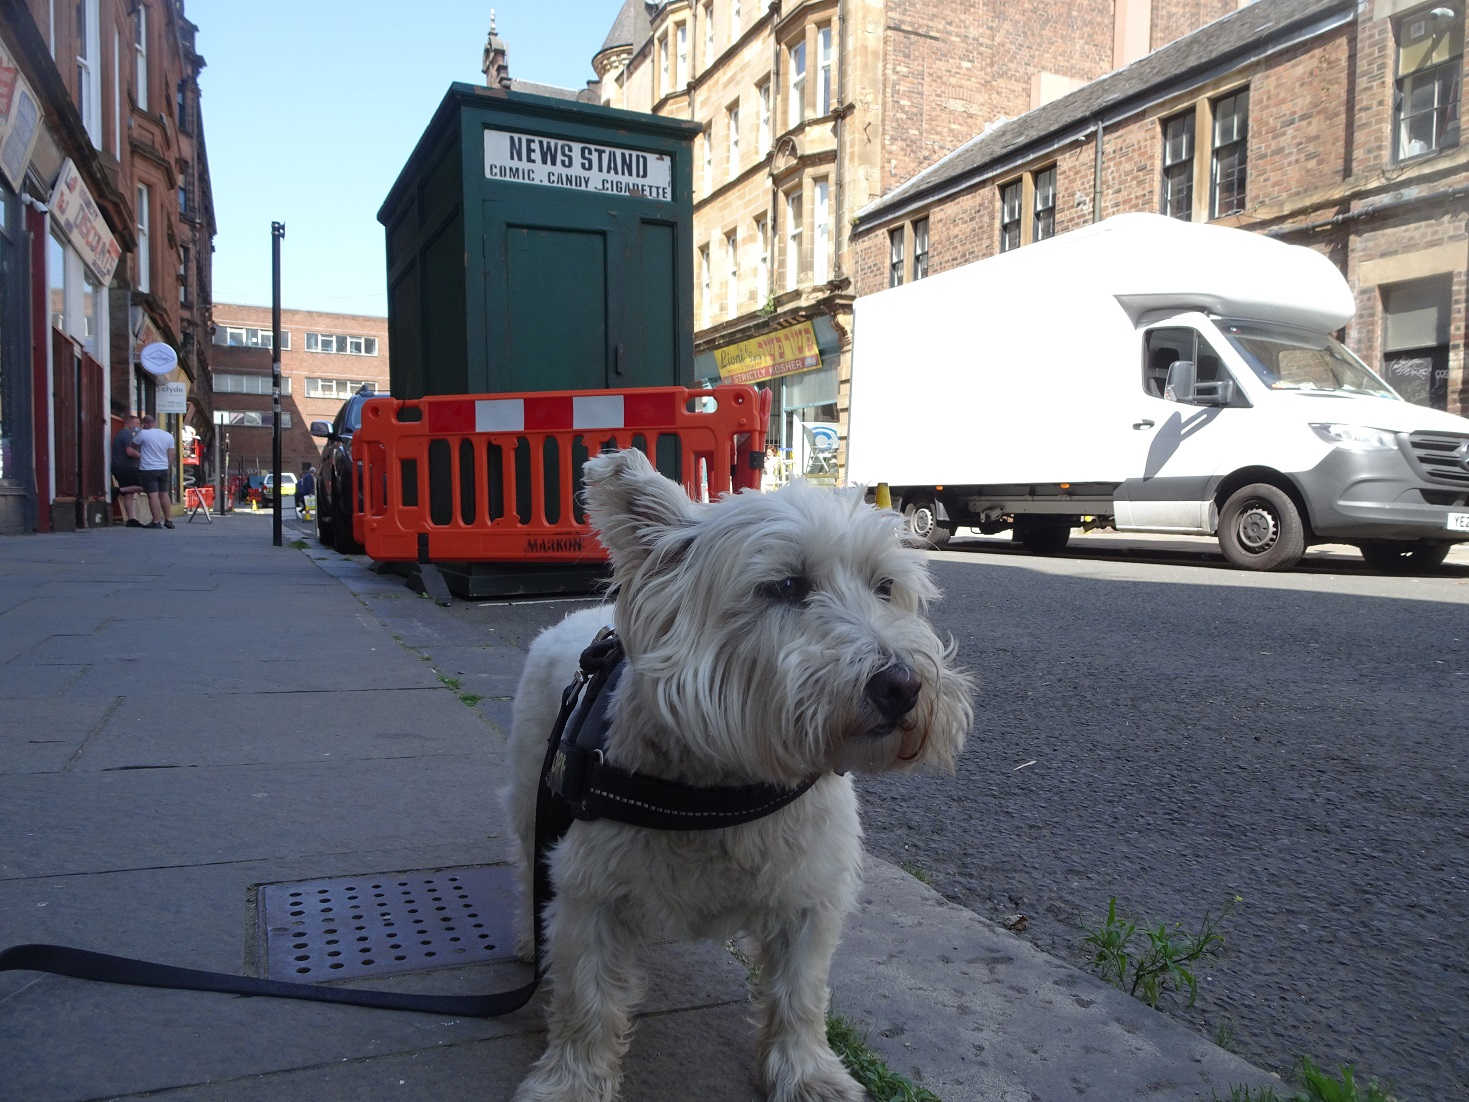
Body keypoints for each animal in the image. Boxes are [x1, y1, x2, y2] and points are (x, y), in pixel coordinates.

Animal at [505, 449, 975, 1102]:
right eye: (786, 586)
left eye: (885, 587)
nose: (902, 685)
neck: (727, 787)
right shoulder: (590, 889)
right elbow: (588, 999)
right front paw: (570, 1083)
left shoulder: (809, 894)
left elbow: (800, 995)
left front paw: (808, 1075)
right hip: (533, 791)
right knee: (529, 861)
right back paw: (531, 939)